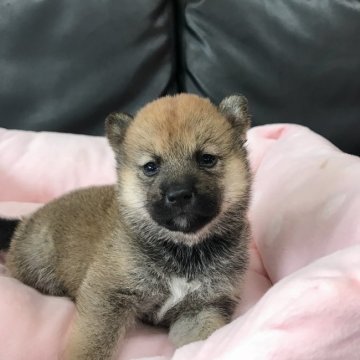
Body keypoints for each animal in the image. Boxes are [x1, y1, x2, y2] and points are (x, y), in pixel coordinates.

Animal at [0, 93, 252, 360]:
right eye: (151, 166)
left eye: (206, 159)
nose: (179, 194)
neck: (182, 250)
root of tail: (24, 222)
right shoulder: (107, 294)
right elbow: (91, 342)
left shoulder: (203, 307)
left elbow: (200, 341)